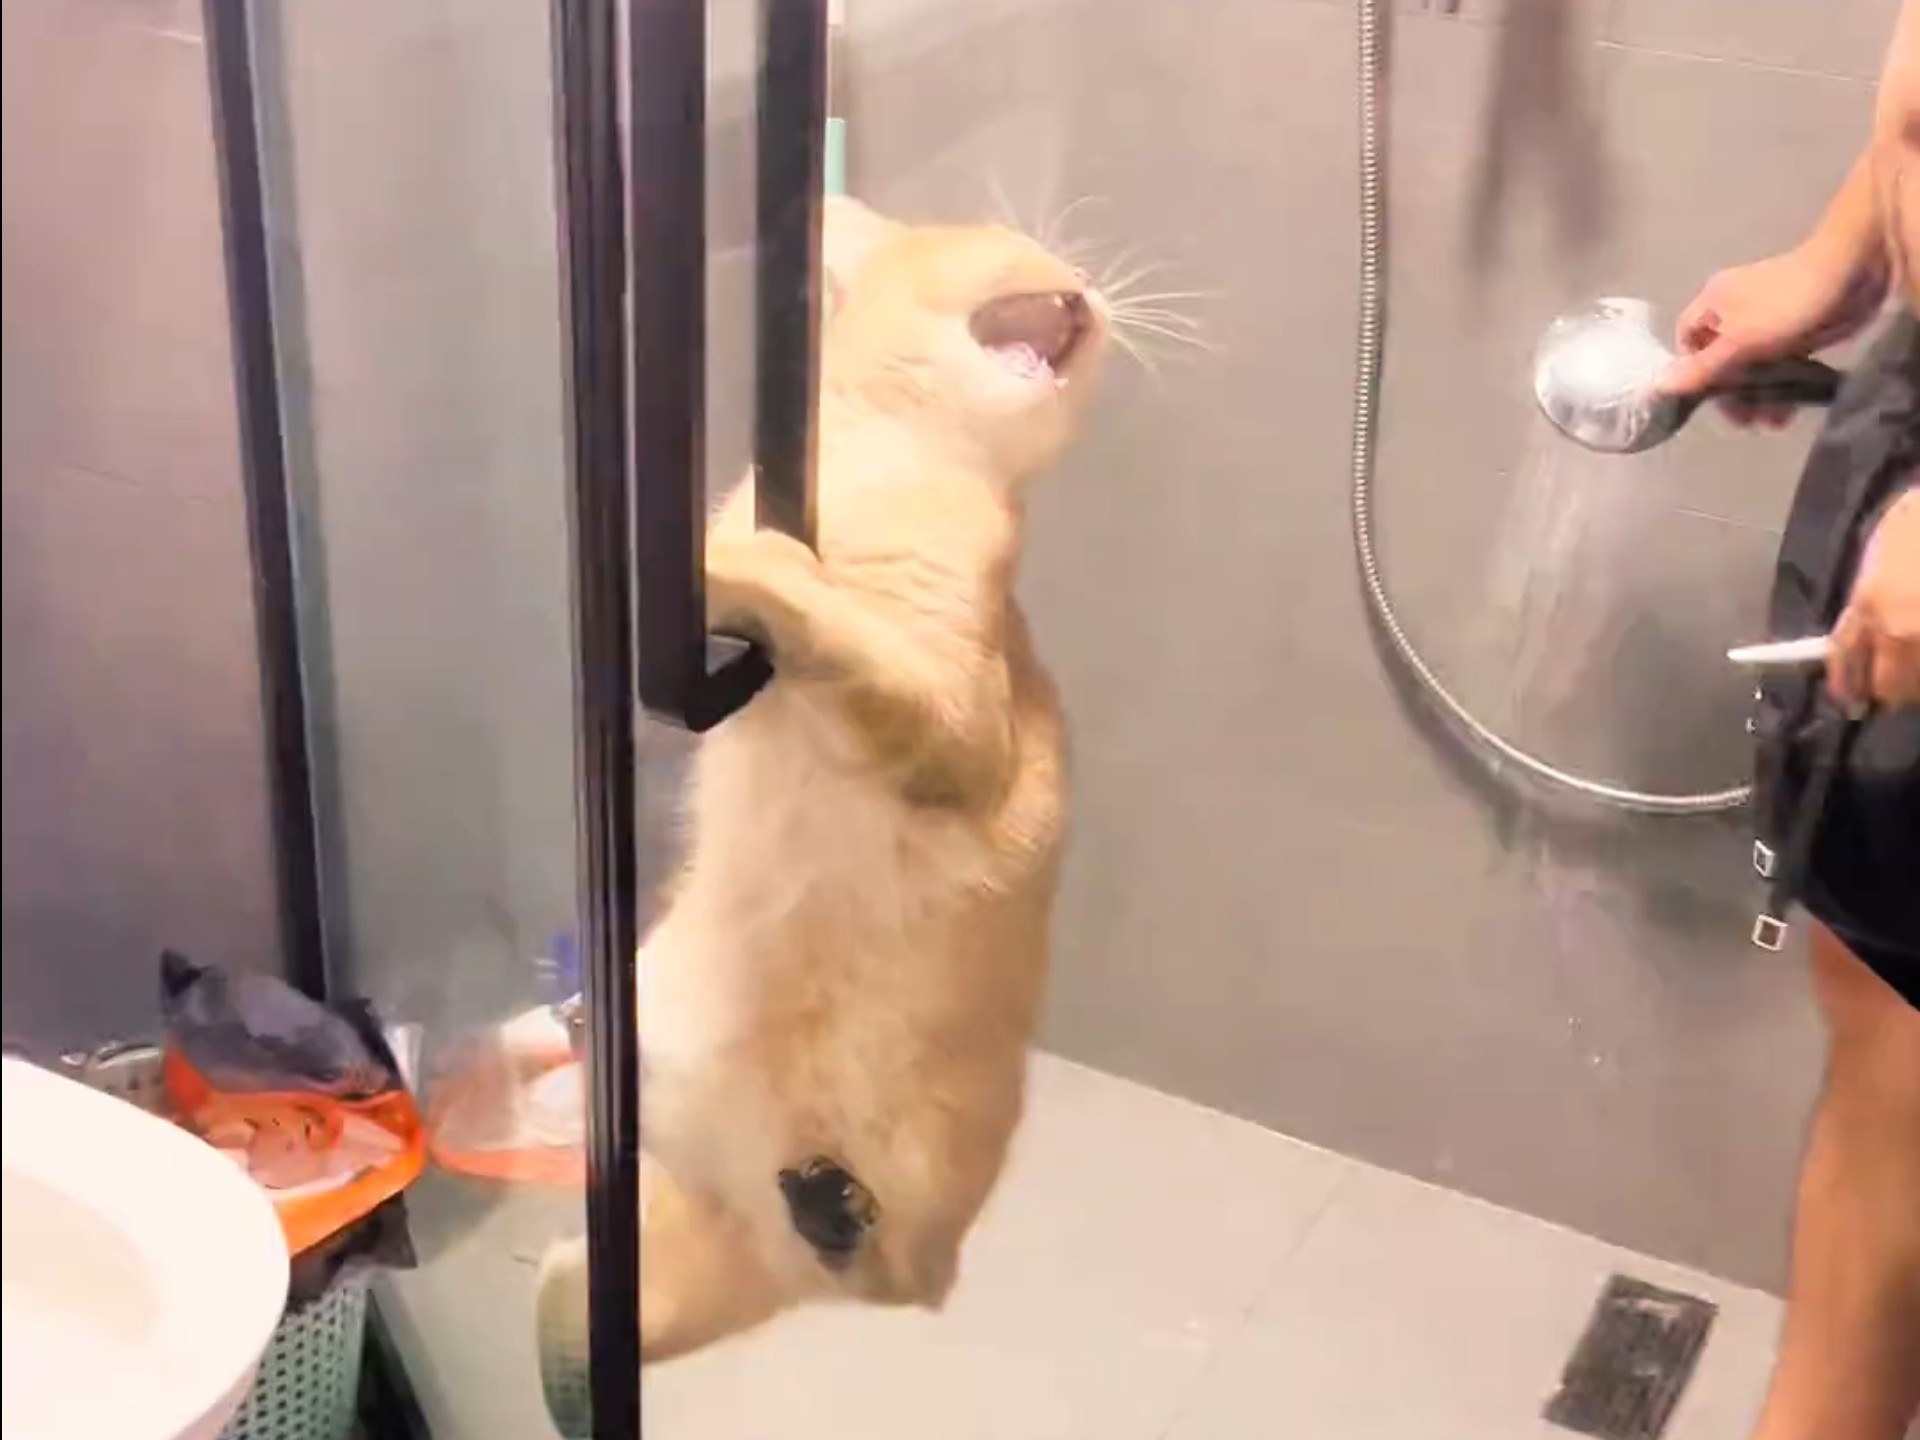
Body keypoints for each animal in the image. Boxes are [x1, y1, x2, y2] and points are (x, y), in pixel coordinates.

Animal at [536, 196, 1111, 1386]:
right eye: (1010, 238)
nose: (1087, 283)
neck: (881, 467)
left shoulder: (955, 724)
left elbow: (831, 626)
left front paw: (744, 570)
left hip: (888, 1216)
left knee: (902, 1282)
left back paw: (837, 1208)